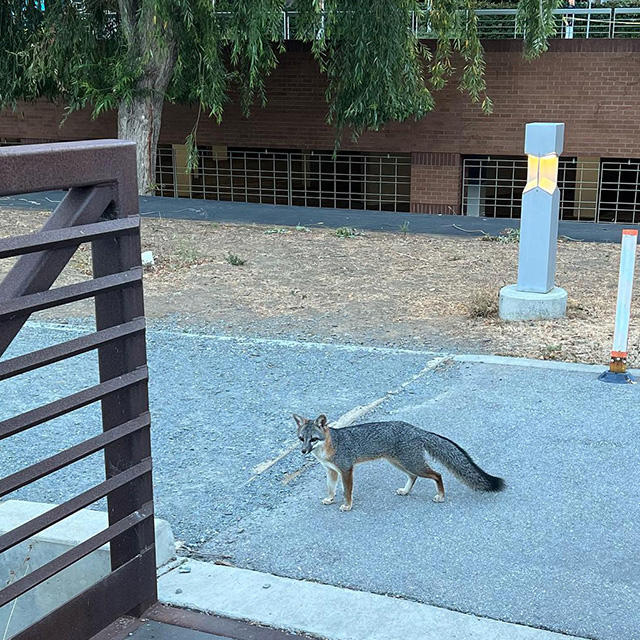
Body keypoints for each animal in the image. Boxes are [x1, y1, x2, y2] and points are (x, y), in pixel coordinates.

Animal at [293, 414, 505, 511]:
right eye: (301, 439)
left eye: (313, 439)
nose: (303, 451)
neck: (329, 448)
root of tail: (416, 429)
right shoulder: (331, 471)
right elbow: (330, 488)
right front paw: (330, 499)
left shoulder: (346, 469)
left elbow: (346, 491)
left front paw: (347, 505)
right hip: (399, 463)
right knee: (414, 477)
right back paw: (406, 491)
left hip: (412, 464)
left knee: (438, 475)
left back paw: (441, 496)